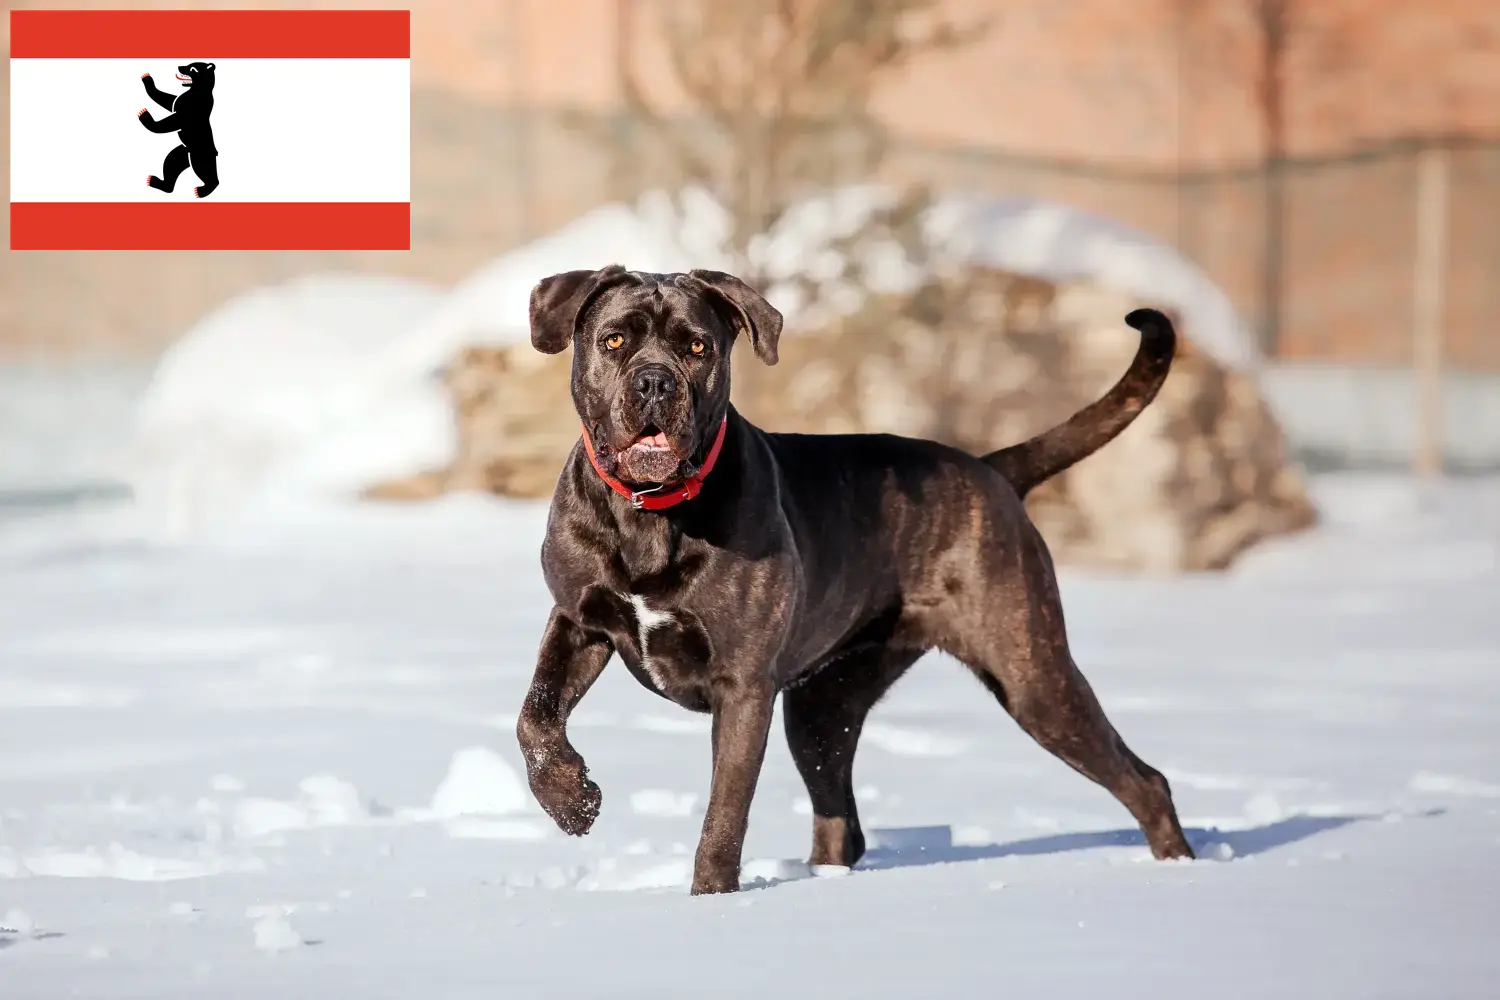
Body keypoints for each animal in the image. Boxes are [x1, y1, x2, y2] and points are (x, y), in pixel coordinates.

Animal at [139, 62, 219, 199]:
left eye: (192, 68)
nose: (179, 66)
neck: (197, 91)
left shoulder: (191, 109)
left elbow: (175, 120)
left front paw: (144, 115)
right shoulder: (178, 101)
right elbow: (169, 99)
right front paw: (147, 78)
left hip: (199, 154)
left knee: (206, 171)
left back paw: (201, 191)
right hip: (181, 153)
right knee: (170, 165)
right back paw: (154, 181)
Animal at [516, 268, 1194, 899]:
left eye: (697, 347)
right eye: (614, 340)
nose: (656, 381)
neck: (650, 513)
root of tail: (991, 470)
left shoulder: (743, 686)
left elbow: (725, 812)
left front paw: (710, 899)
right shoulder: (577, 620)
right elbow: (536, 717)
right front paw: (572, 802)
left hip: (1031, 675)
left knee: (1144, 780)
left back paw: (1181, 868)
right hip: (823, 707)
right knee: (840, 819)